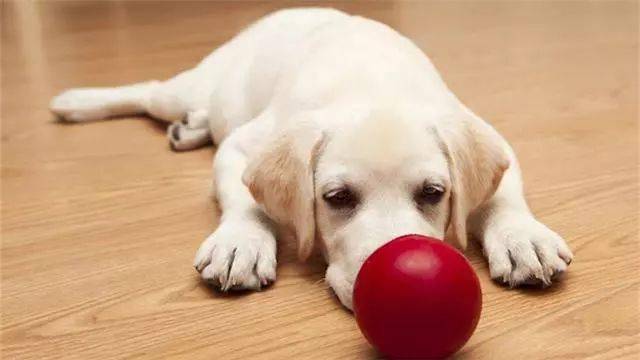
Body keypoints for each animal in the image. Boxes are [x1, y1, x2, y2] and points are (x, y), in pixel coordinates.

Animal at [48, 7, 568, 310]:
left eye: (433, 193)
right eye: (336, 198)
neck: (372, 84)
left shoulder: (490, 137)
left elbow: (504, 196)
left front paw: (524, 237)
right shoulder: (243, 145)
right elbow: (246, 200)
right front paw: (240, 242)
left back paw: (190, 128)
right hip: (190, 88)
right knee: (149, 92)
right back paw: (76, 103)